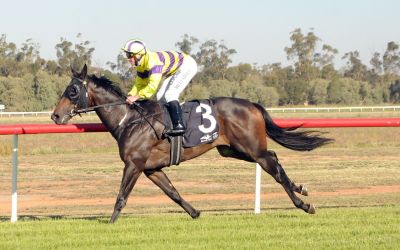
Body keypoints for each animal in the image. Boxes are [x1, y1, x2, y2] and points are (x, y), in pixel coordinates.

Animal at [51, 64, 332, 223]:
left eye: (72, 91)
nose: (55, 116)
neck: (129, 120)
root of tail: (253, 104)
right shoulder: (151, 168)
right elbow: (173, 193)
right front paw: (195, 213)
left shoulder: (134, 164)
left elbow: (121, 196)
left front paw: (110, 223)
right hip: (232, 149)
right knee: (274, 158)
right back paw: (301, 189)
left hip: (252, 148)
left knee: (273, 165)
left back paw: (304, 204)